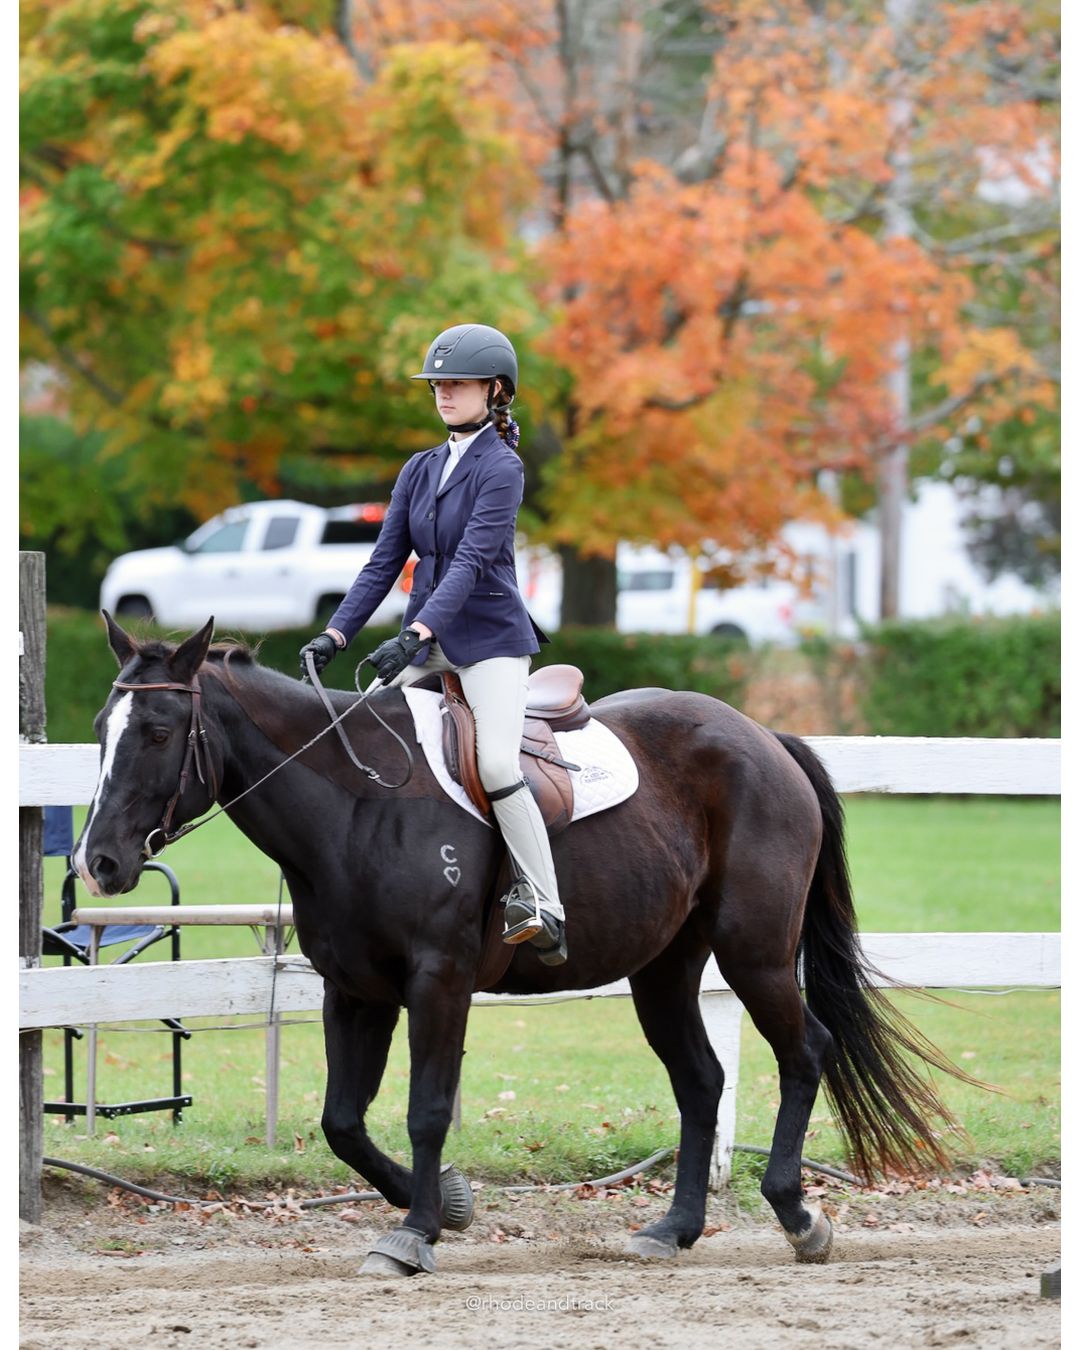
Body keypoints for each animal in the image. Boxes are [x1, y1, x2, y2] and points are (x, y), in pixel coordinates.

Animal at [73, 613, 963, 1276]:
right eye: (101, 728)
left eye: (158, 730)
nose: (99, 862)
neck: (359, 801)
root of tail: (764, 737)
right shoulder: (352, 988)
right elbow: (342, 1122)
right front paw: (448, 1203)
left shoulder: (439, 979)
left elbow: (426, 1110)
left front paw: (417, 1231)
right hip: (664, 968)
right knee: (702, 1080)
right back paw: (672, 1228)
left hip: (755, 953)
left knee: (805, 1049)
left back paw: (796, 1214)